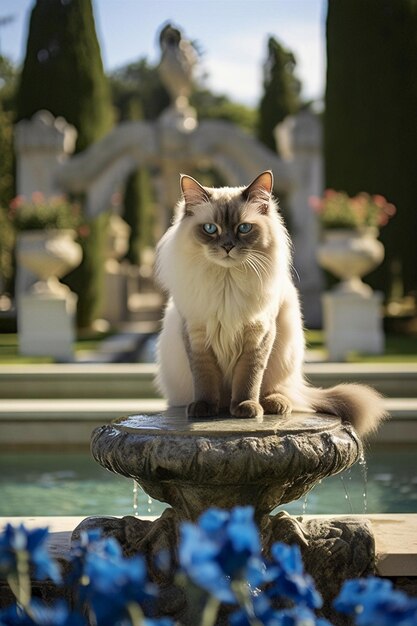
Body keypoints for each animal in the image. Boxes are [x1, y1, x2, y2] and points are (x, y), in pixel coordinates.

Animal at [156, 169, 386, 434]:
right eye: (210, 229)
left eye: (244, 228)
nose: (227, 246)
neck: (227, 283)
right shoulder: (197, 335)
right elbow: (205, 378)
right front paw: (203, 408)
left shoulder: (258, 334)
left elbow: (248, 379)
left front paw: (245, 408)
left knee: (273, 390)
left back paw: (271, 404)